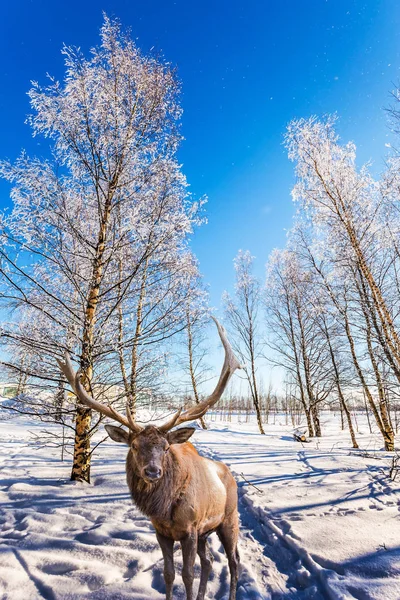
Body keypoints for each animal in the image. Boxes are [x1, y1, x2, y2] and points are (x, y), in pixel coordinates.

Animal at [57, 316, 241, 596]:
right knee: (209, 561)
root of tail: (229, 474)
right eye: (133, 446)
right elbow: (169, 574)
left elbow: (187, 575)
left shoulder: (190, 529)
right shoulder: (161, 531)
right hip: (206, 531)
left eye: (165, 447)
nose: (152, 471)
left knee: (233, 562)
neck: (165, 509)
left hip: (229, 519)